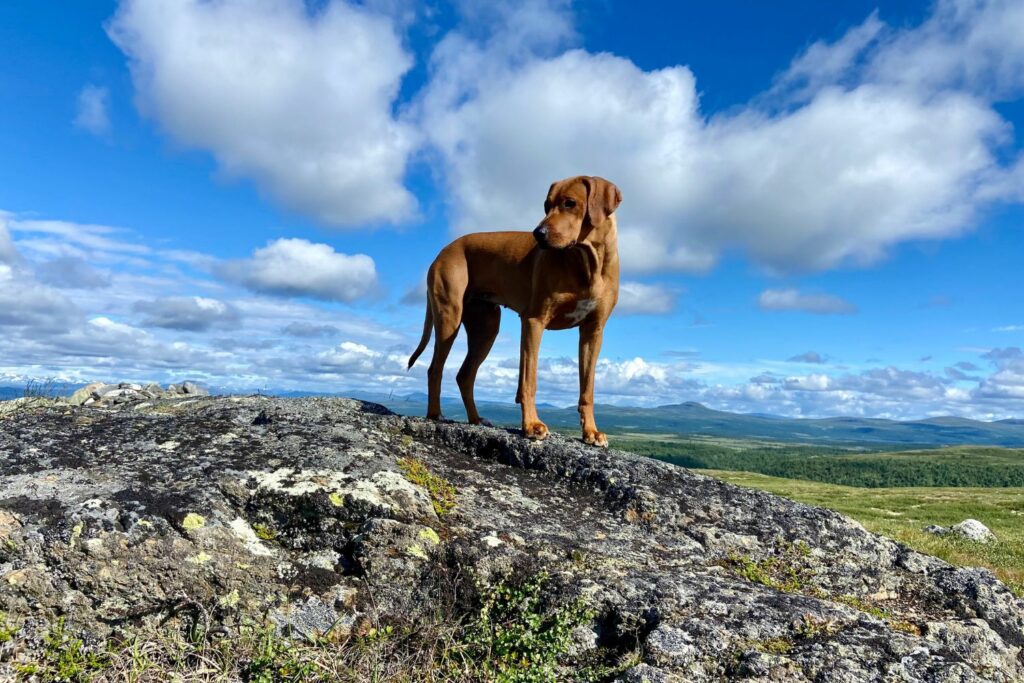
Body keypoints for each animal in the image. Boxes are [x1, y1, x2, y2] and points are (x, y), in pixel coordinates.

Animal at [409, 174, 622, 446]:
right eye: (546, 205)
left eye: (570, 203)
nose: (538, 233)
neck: (588, 261)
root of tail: (442, 251)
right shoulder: (534, 321)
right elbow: (528, 380)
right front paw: (531, 425)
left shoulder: (593, 331)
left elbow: (588, 388)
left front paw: (591, 432)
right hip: (449, 317)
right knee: (435, 368)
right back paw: (435, 414)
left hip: (486, 327)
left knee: (465, 375)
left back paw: (476, 420)